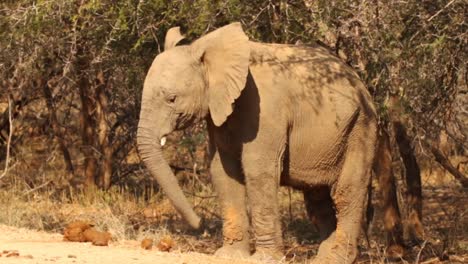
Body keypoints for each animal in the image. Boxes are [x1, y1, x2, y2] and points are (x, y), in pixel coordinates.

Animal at [137, 23, 378, 264]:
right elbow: (222, 171)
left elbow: (257, 169)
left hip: (360, 128)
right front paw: (230, 254)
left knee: (346, 192)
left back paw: (337, 257)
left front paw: (265, 258)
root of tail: (360, 82)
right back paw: (323, 258)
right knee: (316, 197)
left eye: (172, 99)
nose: (200, 224)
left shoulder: (265, 108)